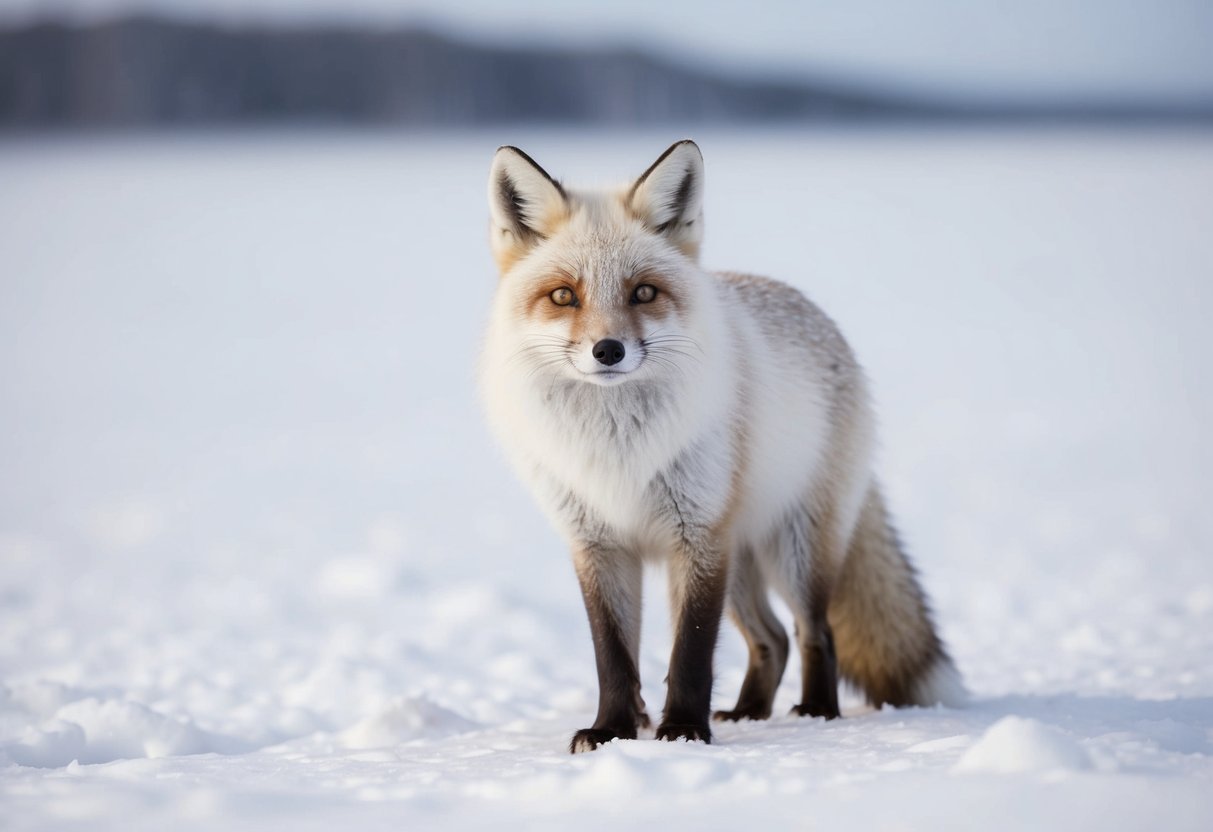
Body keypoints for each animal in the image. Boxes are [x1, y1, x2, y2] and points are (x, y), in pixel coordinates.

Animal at [480, 139, 964, 753]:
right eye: (564, 296)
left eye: (643, 292)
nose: (608, 350)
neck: (618, 447)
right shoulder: (599, 543)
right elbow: (613, 656)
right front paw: (613, 730)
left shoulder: (699, 535)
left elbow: (691, 651)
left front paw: (684, 730)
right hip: (741, 561)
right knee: (773, 639)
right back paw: (750, 712)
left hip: (791, 549)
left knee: (814, 631)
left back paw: (816, 713)